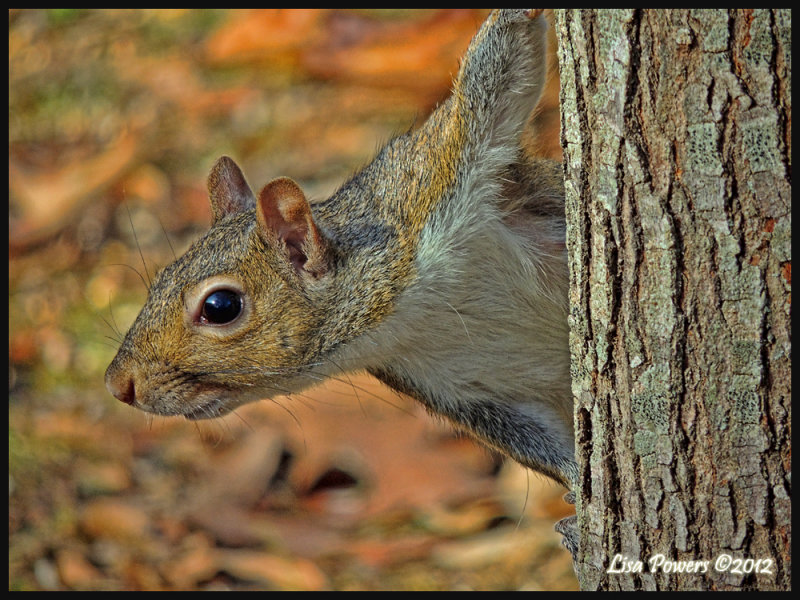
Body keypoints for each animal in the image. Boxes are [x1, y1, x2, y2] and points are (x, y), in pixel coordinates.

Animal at [109, 10, 580, 492]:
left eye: (221, 306)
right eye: (162, 277)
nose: (119, 385)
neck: (413, 309)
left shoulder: (426, 179)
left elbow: (485, 91)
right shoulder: (452, 386)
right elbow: (531, 440)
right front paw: (578, 481)